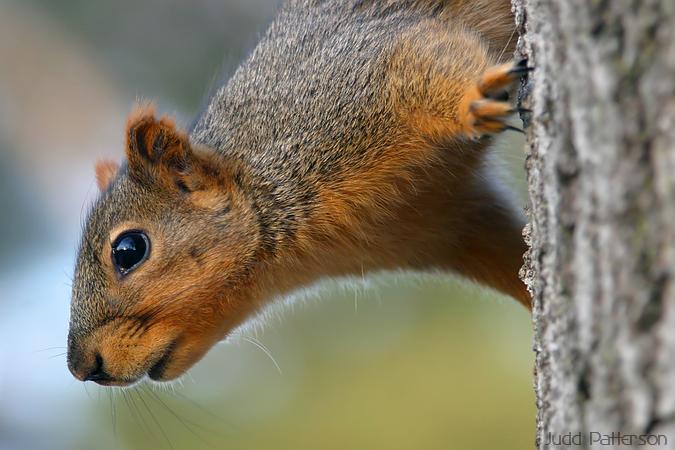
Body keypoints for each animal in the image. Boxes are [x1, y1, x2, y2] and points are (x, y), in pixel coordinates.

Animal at [67, 0, 528, 386]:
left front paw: (474, 101)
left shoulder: (352, 78)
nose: (82, 367)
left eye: (128, 250)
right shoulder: (447, 220)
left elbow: (422, 55)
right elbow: (509, 255)